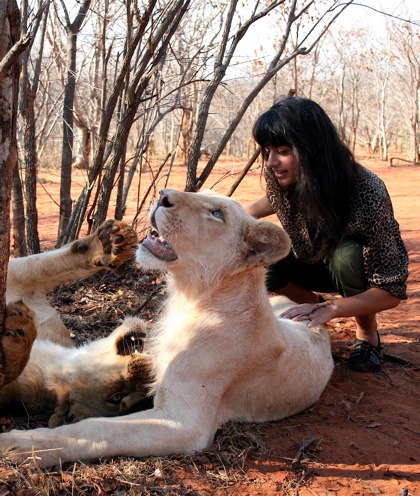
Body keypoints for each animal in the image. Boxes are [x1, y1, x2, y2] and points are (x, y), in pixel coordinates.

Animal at [0, 189, 334, 464]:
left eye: (216, 213)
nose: (163, 195)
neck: (189, 298)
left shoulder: (184, 423)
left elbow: (99, 428)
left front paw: (24, 445)